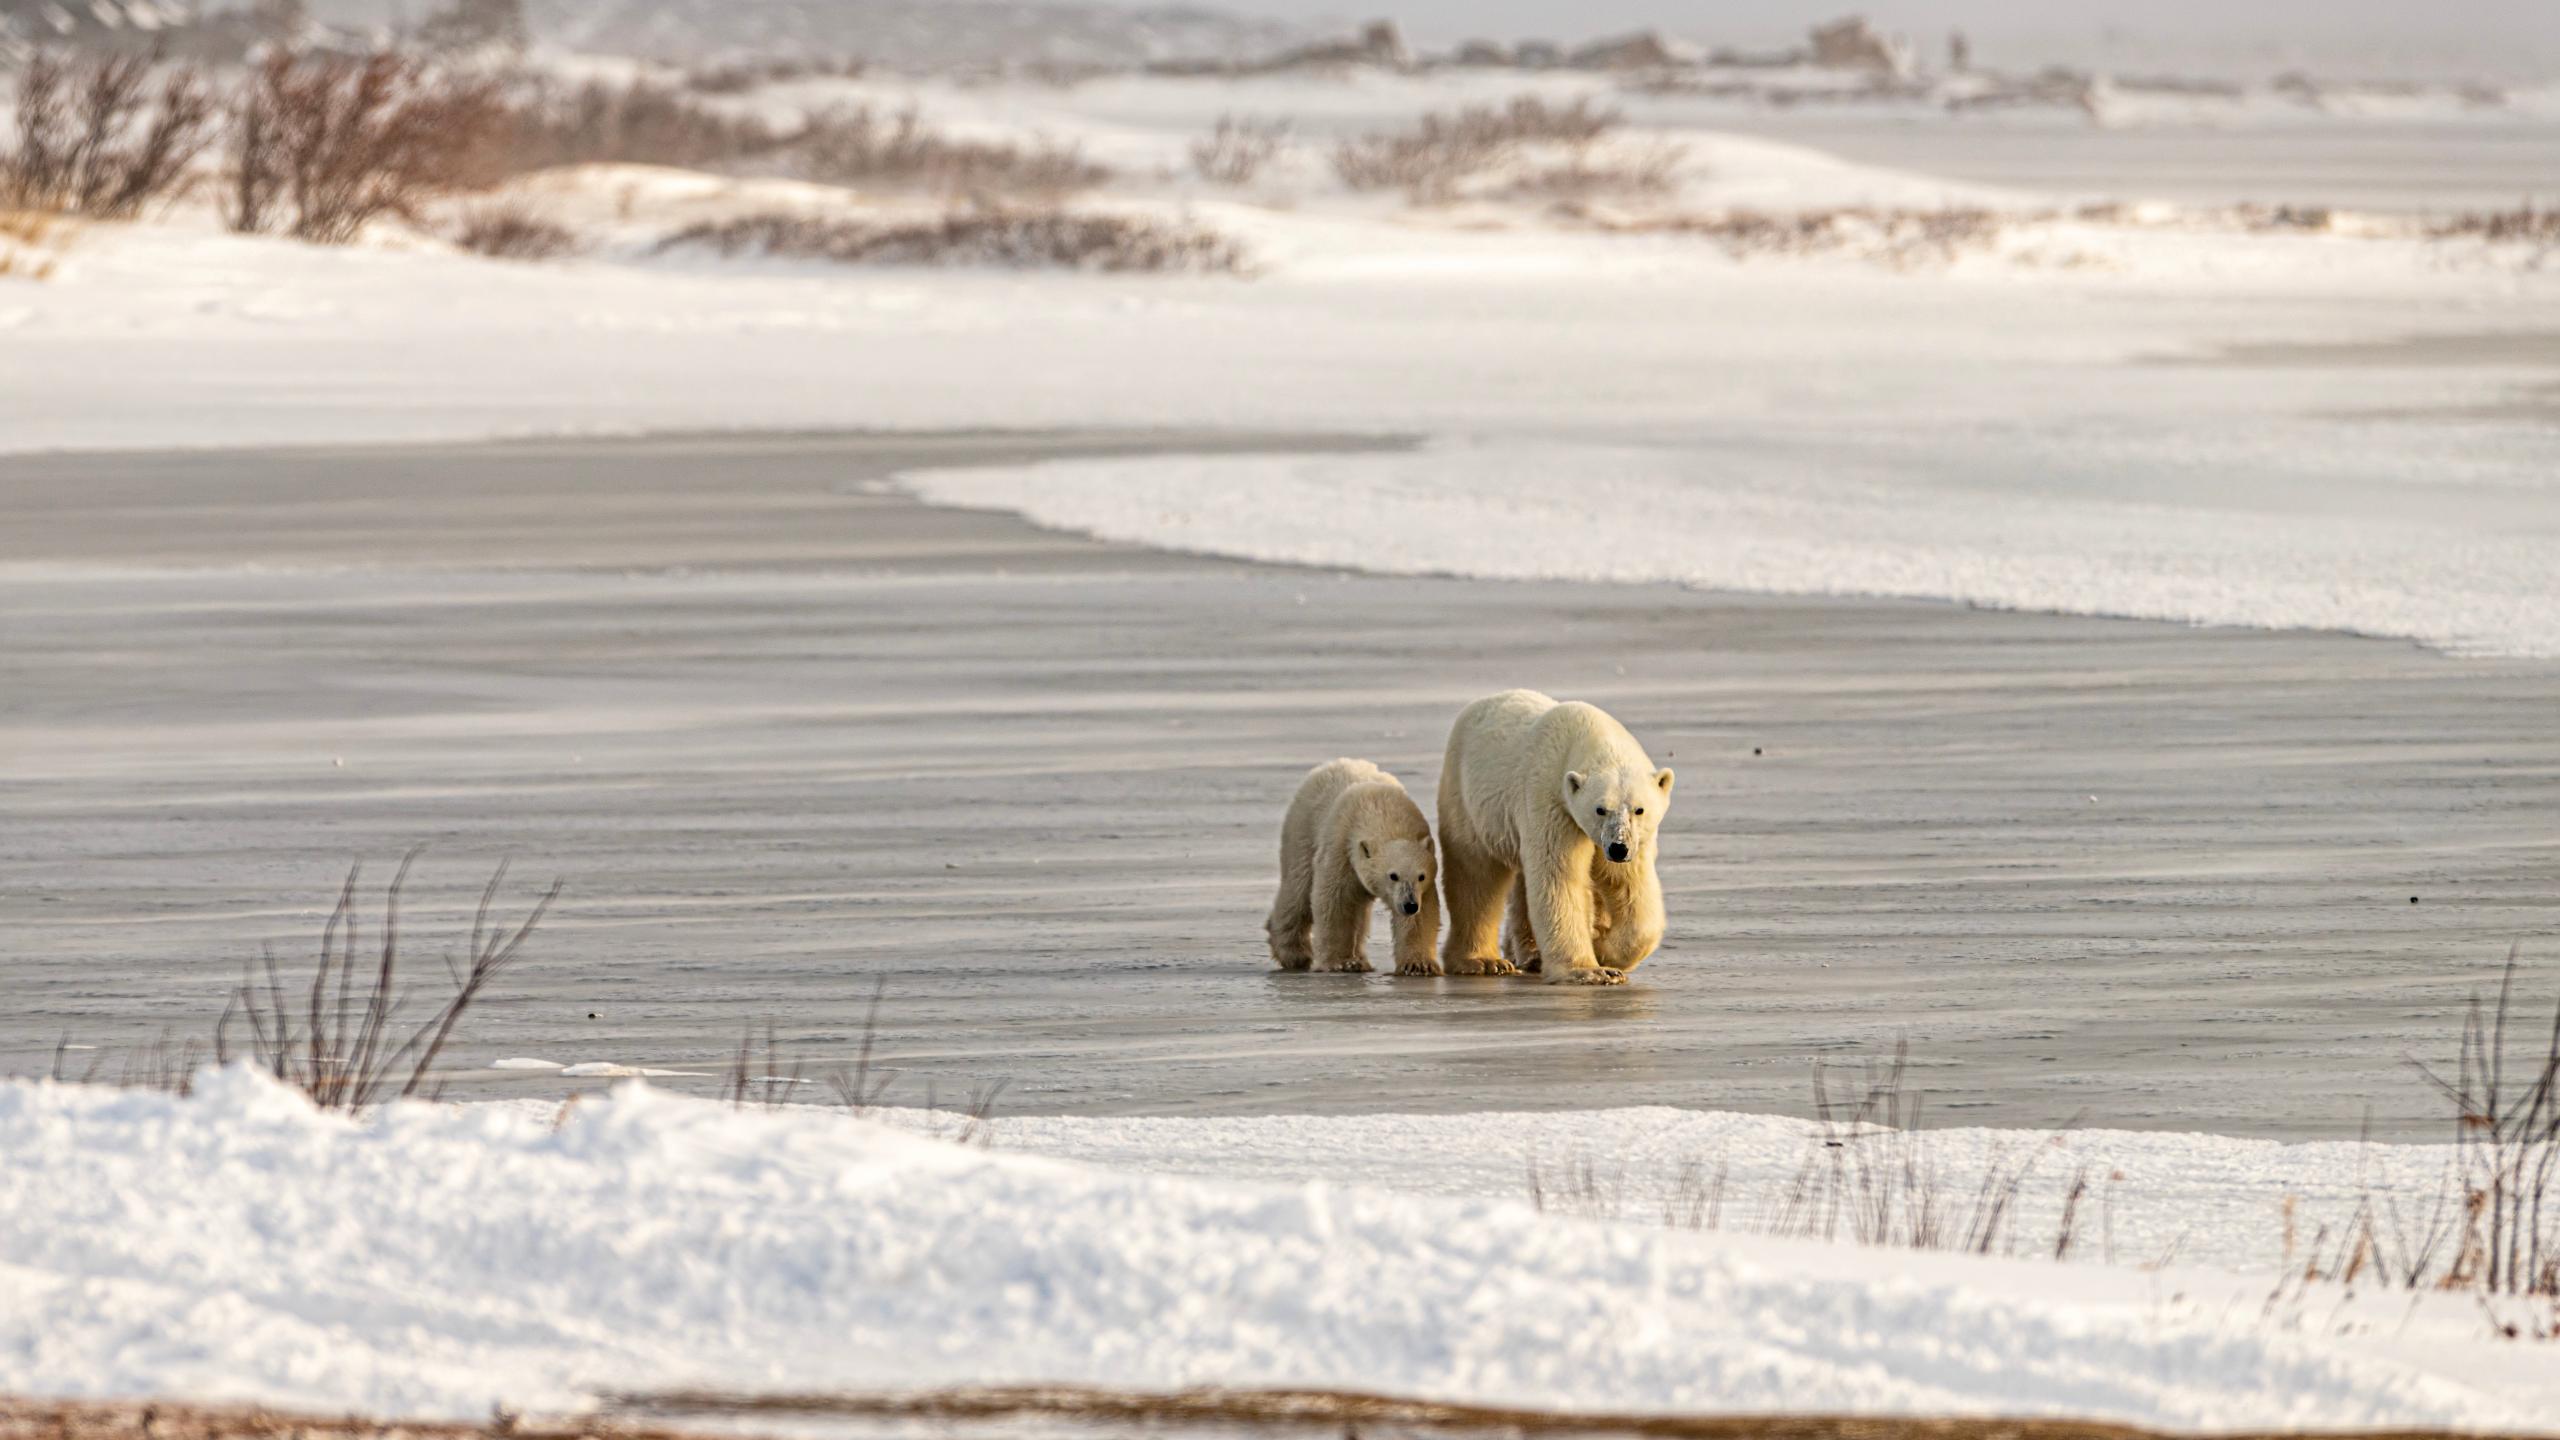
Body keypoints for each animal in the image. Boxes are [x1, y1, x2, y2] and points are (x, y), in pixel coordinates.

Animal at [1264, 758, 1443, 968]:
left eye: (1421, 876)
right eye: (1393, 876)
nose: (1410, 905)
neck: (1382, 811)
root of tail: (1333, 763)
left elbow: (1423, 914)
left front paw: (1418, 965)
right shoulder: (1342, 847)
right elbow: (1336, 900)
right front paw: (1342, 962)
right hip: (1303, 828)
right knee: (1298, 886)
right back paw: (1293, 954)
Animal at [1443, 691, 1679, 978]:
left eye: (1639, 809)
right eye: (1600, 809)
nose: (1618, 848)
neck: (1586, 735)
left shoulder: (1634, 841)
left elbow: (1628, 884)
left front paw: (1605, 950)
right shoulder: (1551, 803)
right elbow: (1559, 876)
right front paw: (1592, 969)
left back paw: (1527, 955)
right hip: (1467, 799)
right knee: (1475, 873)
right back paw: (1483, 961)